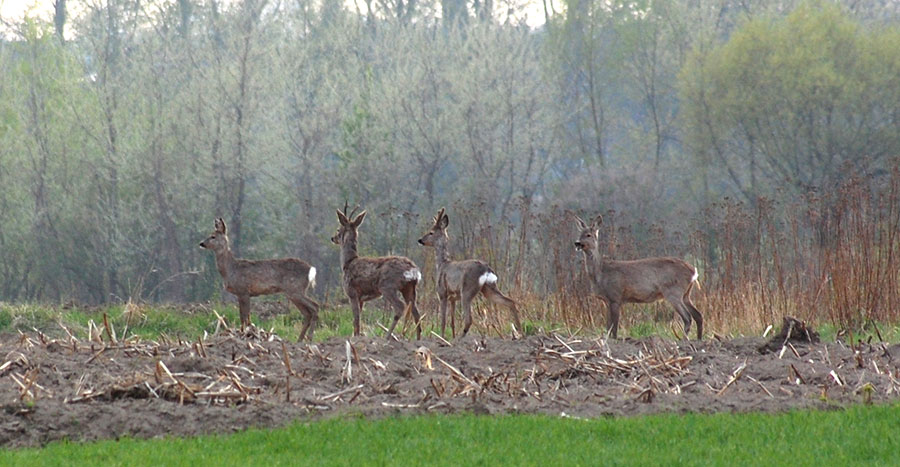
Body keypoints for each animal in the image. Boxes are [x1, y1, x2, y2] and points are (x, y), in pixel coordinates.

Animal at [331, 205, 423, 340]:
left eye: (339, 229)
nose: (332, 238)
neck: (348, 262)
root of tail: (413, 270)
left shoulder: (352, 292)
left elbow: (356, 319)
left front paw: (355, 338)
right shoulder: (361, 298)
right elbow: (357, 320)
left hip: (387, 286)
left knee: (400, 307)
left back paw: (388, 336)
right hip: (410, 288)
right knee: (416, 312)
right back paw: (418, 339)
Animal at [417, 208, 523, 338]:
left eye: (431, 232)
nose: (420, 240)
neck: (442, 264)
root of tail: (486, 270)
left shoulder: (442, 292)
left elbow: (443, 320)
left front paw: (442, 338)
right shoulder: (453, 298)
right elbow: (452, 322)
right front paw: (451, 337)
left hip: (467, 290)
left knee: (469, 319)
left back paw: (460, 338)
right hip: (489, 288)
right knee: (510, 301)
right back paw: (520, 332)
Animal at [573, 214, 703, 340]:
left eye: (588, 235)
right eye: (579, 234)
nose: (577, 243)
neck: (600, 273)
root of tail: (693, 271)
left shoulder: (615, 296)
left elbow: (614, 327)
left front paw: (614, 340)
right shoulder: (607, 300)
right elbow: (608, 326)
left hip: (673, 291)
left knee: (688, 317)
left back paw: (685, 339)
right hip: (685, 294)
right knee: (698, 315)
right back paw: (698, 339)